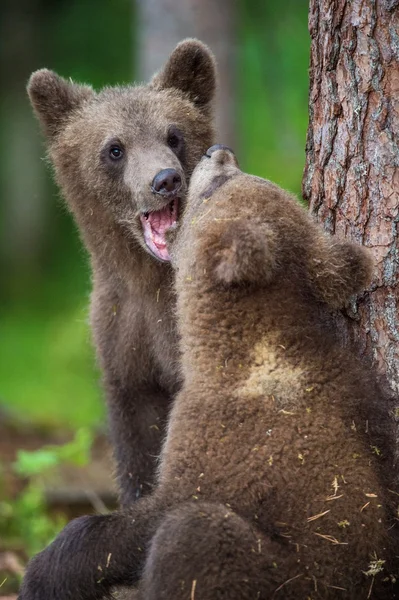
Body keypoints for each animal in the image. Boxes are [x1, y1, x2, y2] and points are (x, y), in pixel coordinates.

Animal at [19, 146, 399, 600]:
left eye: (219, 185)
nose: (218, 152)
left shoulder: (217, 444)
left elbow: (158, 512)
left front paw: (46, 571)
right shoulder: (361, 398)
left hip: (292, 577)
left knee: (192, 534)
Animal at [27, 39, 217, 504]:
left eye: (174, 135)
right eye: (115, 148)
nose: (165, 179)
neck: (145, 277)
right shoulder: (123, 337)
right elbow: (136, 442)